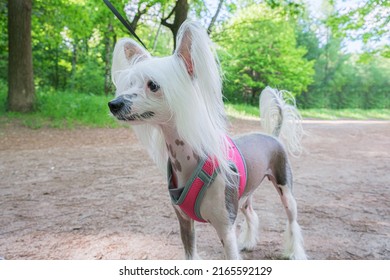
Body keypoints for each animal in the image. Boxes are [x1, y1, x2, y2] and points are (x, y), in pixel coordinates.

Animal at [108, 20, 306, 260]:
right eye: (130, 84)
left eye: (153, 85)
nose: (113, 104)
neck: (188, 160)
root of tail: (272, 135)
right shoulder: (185, 223)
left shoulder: (225, 228)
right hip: (244, 195)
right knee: (251, 213)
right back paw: (249, 242)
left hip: (285, 188)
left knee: (292, 221)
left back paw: (294, 253)